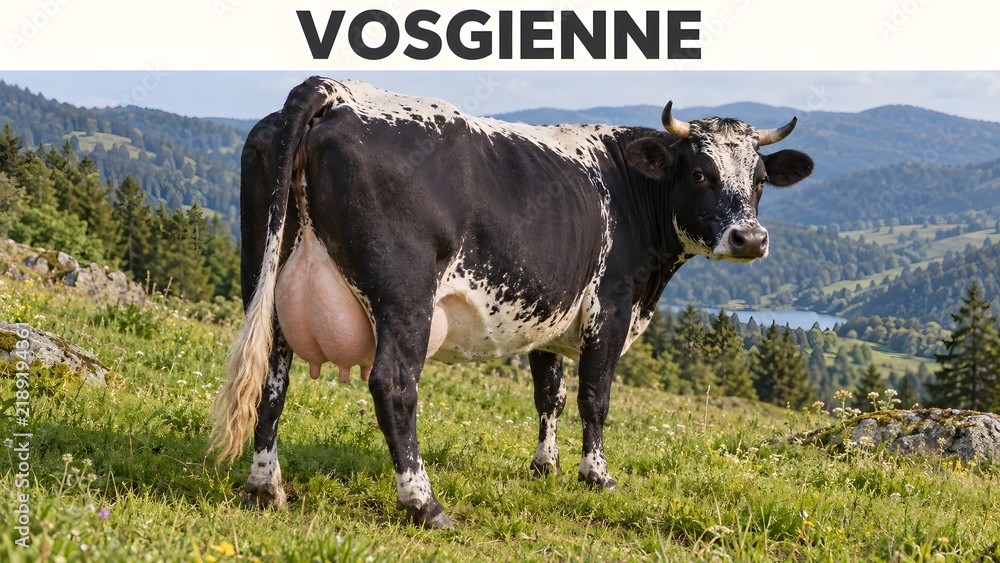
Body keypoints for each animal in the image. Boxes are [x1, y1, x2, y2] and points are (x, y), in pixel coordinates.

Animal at [210, 76, 814, 529]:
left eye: (760, 179)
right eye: (700, 172)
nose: (750, 239)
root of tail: (334, 91)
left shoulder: (551, 313)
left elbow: (550, 395)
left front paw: (545, 467)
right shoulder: (611, 308)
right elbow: (595, 398)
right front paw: (597, 476)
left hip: (264, 272)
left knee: (271, 375)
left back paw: (264, 487)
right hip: (403, 295)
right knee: (394, 385)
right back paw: (424, 503)